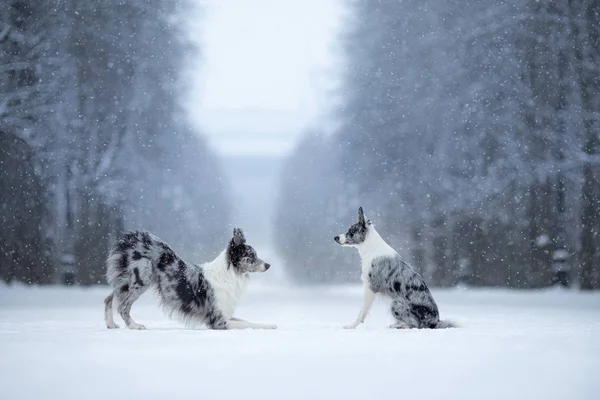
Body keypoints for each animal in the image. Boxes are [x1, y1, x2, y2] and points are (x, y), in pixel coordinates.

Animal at [104, 230, 278, 330]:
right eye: (250, 256)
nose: (268, 265)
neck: (229, 274)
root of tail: (133, 238)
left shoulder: (225, 315)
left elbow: (248, 320)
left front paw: (270, 323)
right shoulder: (218, 321)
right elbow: (248, 323)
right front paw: (271, 325)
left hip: (126, 281)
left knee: (109, 298)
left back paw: (111, 324)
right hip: (142, 277)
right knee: (122, 306)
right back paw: (134, 326)